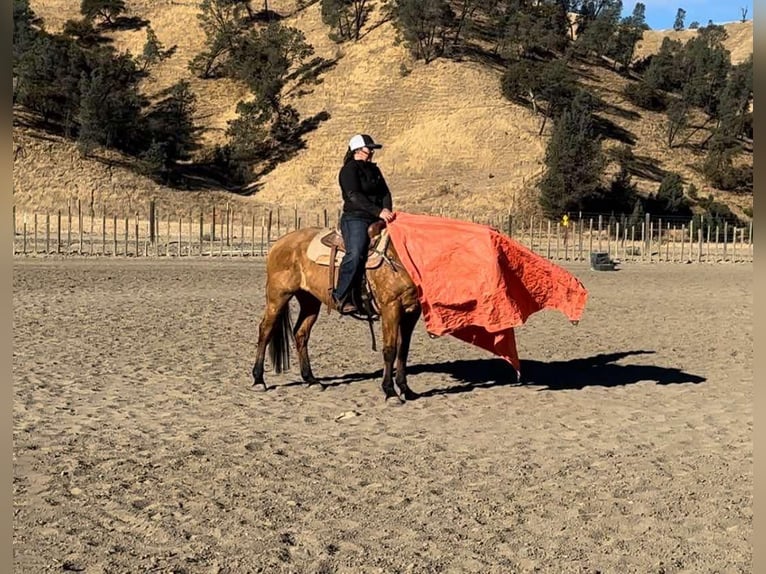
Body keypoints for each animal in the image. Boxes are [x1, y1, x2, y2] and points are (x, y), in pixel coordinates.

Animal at [252, 223, 424, 402]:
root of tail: (278, 243)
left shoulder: (412, 312)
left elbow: (403, 349)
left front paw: (405, 389)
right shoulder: (391, 308)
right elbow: (390, 350)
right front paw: (390, 392)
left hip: (309, 301)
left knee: (300, 334)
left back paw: (311, 380)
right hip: (278, 297)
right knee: (265, 331)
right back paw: (259, 380)